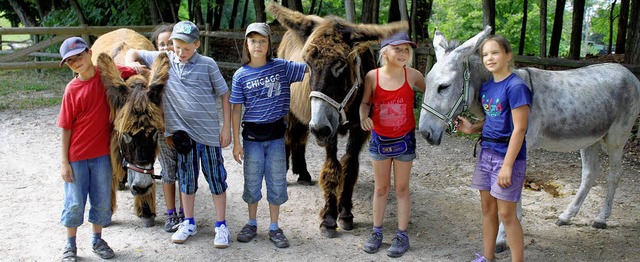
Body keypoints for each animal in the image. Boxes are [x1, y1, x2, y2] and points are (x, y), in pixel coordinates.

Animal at [418, 26, 640, 252]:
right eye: (426, 83)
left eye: (444, 87)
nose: (425, 134)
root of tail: (628, 73)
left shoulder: (518, 145)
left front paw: (503, 236)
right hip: (589, 139)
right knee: (590, 174)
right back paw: (566, 216)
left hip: (617, 137)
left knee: (614, 174)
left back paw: (601, 218)